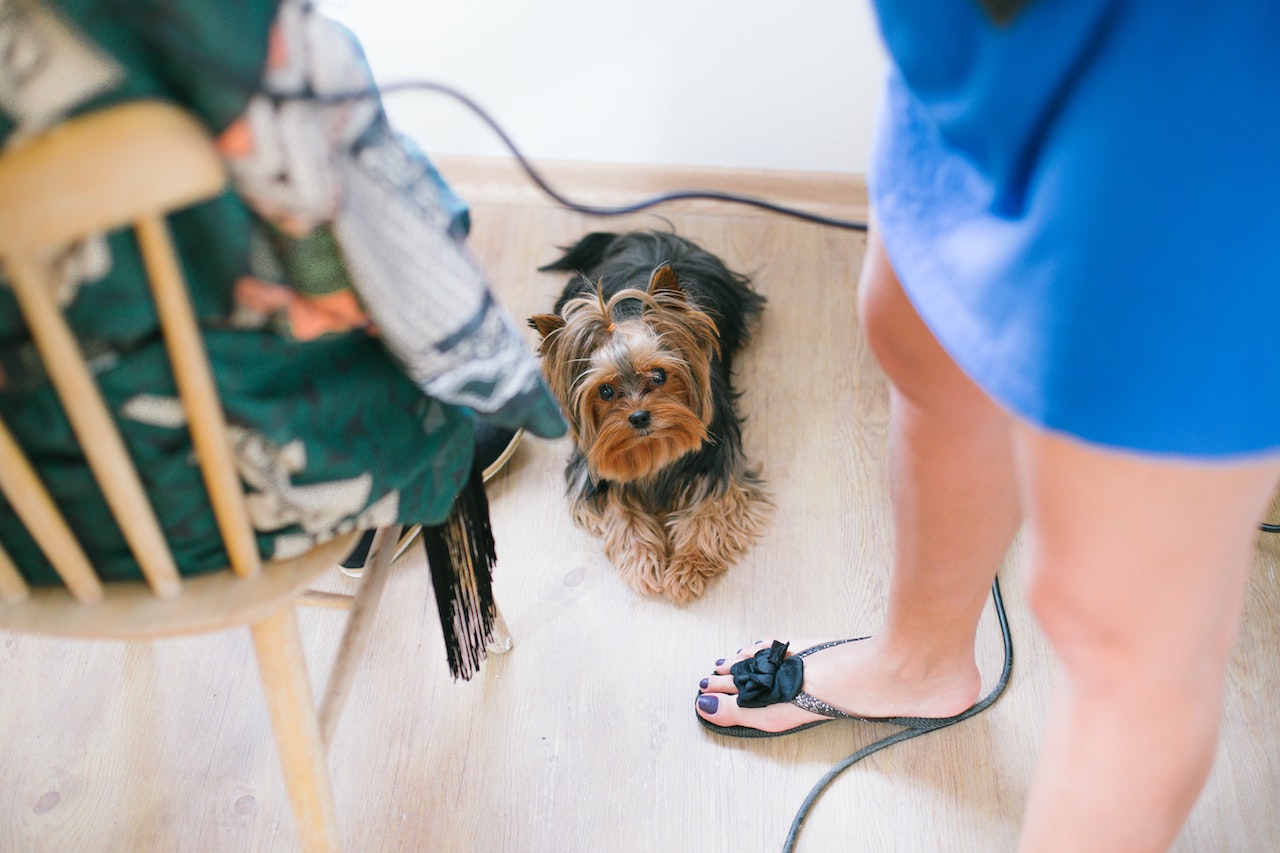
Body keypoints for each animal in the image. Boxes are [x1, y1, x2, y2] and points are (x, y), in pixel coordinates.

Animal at [529, 229, 768, 601]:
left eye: (659, 376)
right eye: (605, 391)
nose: (640, 417)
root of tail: (644, 234)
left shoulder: (721, 469)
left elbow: (709, 513)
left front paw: (686, 570)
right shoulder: (595, 480)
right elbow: (620, 512)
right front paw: (645, 564)